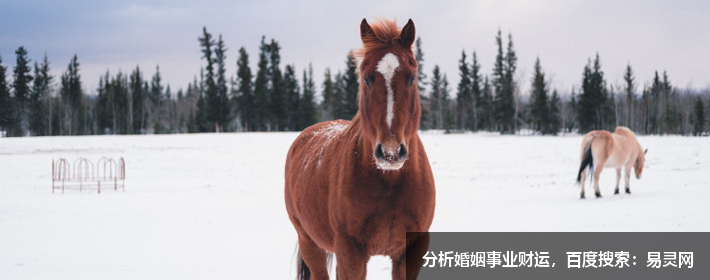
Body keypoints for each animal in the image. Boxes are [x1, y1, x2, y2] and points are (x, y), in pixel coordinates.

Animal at [284, 18, 434, 278]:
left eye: (412, 77)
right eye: (366, 78)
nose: (390, 153)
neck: (390, 182)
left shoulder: (411, 251)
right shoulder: (350, 253)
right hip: (309, 241)